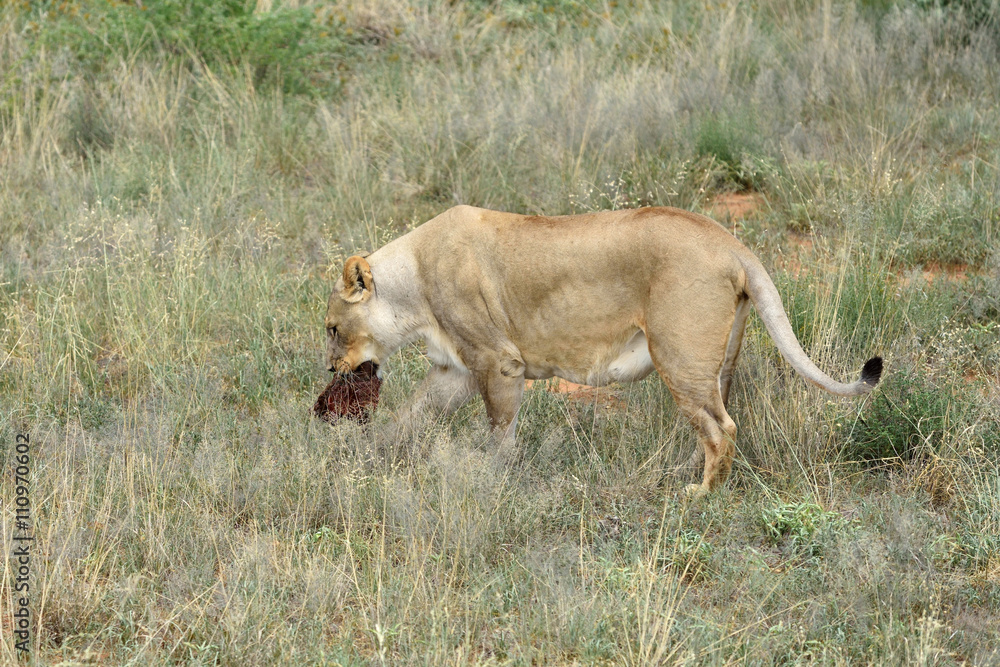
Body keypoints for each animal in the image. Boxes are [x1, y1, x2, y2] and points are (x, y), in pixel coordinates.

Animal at [324, 205, 882, 496]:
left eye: (331, 328)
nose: (329, 367)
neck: (413, 287)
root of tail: (729, 242)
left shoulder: (498, 361)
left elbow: (500, 429)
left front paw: (495, 475)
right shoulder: (455, 370)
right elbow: (413, 415)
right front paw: (373, 451)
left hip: (677, 355)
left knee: (722, 427)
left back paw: (700, 494)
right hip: (715, 360)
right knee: (716, 418)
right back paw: (688, 473)